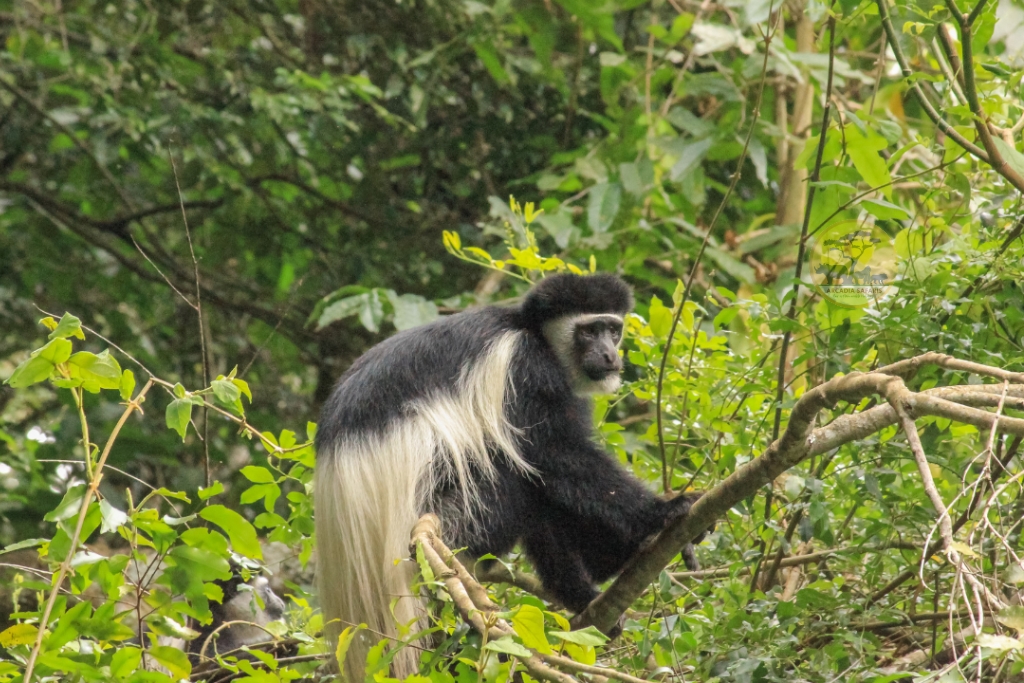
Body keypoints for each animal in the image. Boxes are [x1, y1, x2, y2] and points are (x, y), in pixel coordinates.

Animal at [315, 274, 704, 679]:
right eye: (589, 331)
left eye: (613, 330)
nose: (611, 356)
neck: (529, 330)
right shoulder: (526, 368)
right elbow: (553, 452)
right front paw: (665, 511)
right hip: (462, 516)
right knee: (521, 481)